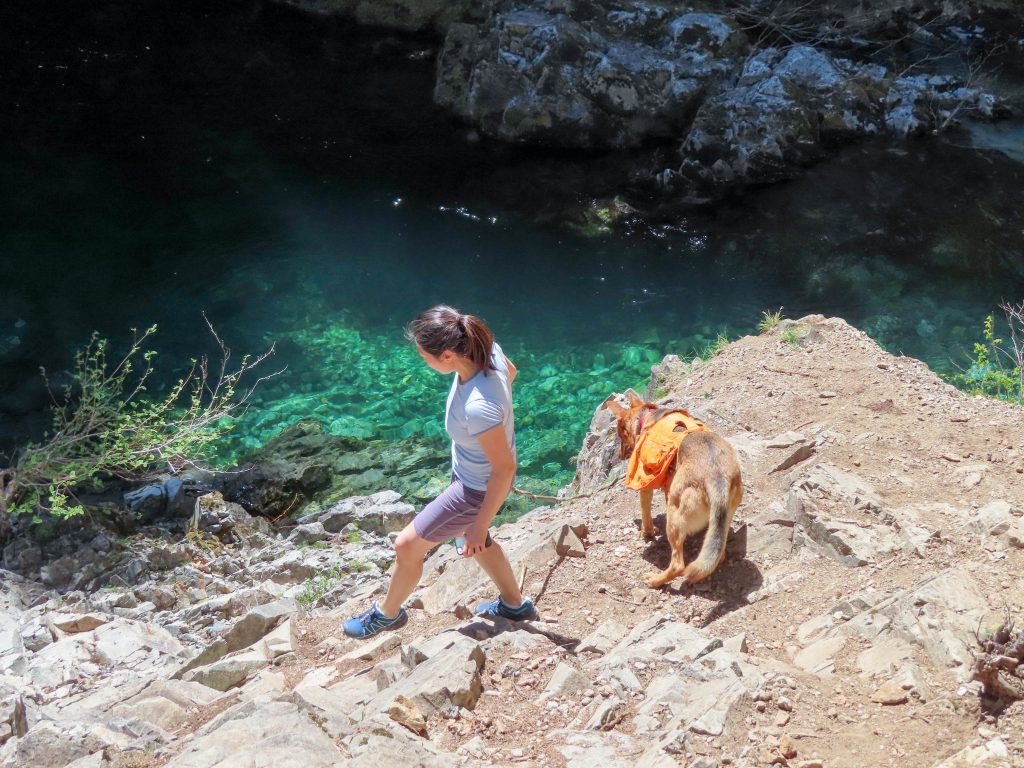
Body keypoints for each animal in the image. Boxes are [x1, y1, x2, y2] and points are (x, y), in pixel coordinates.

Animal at [606, 391, 745, 589]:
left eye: (619, 435)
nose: (619, 454)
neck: (647, 417)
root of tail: (717, 476)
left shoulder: (646, 486)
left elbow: (645, 514)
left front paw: (646, 533)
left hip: (674, 516)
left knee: (678, 565)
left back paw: (654, 580)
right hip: (722, 519)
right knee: (718, 554)